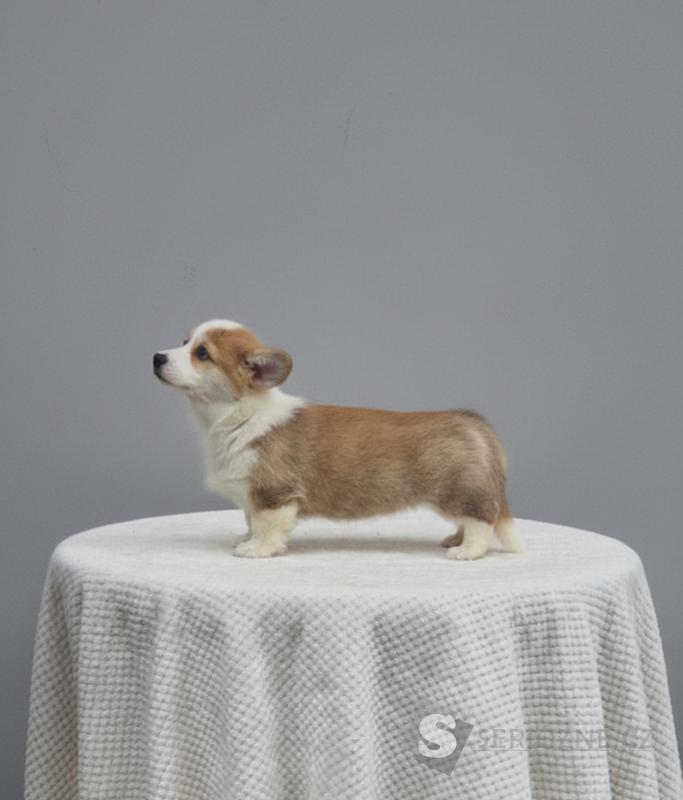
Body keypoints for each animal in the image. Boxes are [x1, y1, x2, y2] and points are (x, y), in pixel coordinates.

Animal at [153, 319, 525, 559]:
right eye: (185, 343)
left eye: (202, 353)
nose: (157, 357)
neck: (238, 413)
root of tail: (474, 422)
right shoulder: (252, 495)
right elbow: (249, 519)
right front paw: (244, 537)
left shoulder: (273, 495)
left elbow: (266, 526)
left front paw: (255, 549)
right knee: (471, 519)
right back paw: (453, 539)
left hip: (458, 492)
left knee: (482, 519)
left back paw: (467, 551)